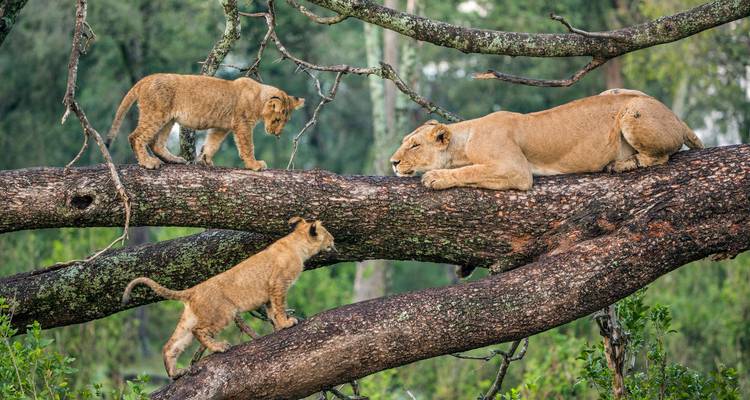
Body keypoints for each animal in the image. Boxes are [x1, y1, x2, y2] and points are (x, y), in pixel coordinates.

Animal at [106, 73, 305, 170]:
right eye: (277, 119)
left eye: (286, 121)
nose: (277, 134)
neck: (259, 98)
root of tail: (146, 79)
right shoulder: (242, 124)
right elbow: (247, 146)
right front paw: (254, 165)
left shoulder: (221, 127)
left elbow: (212, 144)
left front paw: (205, 160)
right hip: (155, 114)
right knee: (136, 137)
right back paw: (148, 162)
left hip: (168, 119)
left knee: (156, 143)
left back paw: (175, 159)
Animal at [121, 217, 335, 379]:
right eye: (327, 233)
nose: (334, 241)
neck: (297, 243)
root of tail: (193, 290)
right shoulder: (278, 284)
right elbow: (280, 307)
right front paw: (287, 323)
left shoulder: (268, 293)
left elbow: (272, 311)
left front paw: (279, 327)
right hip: (224, 313)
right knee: (199, 331)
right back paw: (219, 347)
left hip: (188, 320)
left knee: (170, 345)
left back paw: (176, 373)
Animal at [390, 89, 703, 190]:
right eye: (404, 140)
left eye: (414, 145)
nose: (393, 162)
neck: (464, 140)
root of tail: (676, 117)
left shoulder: (516, 169)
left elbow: (471, 171)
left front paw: (435, 177)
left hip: (632, 111)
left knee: (659, 157)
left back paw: (622, 164)